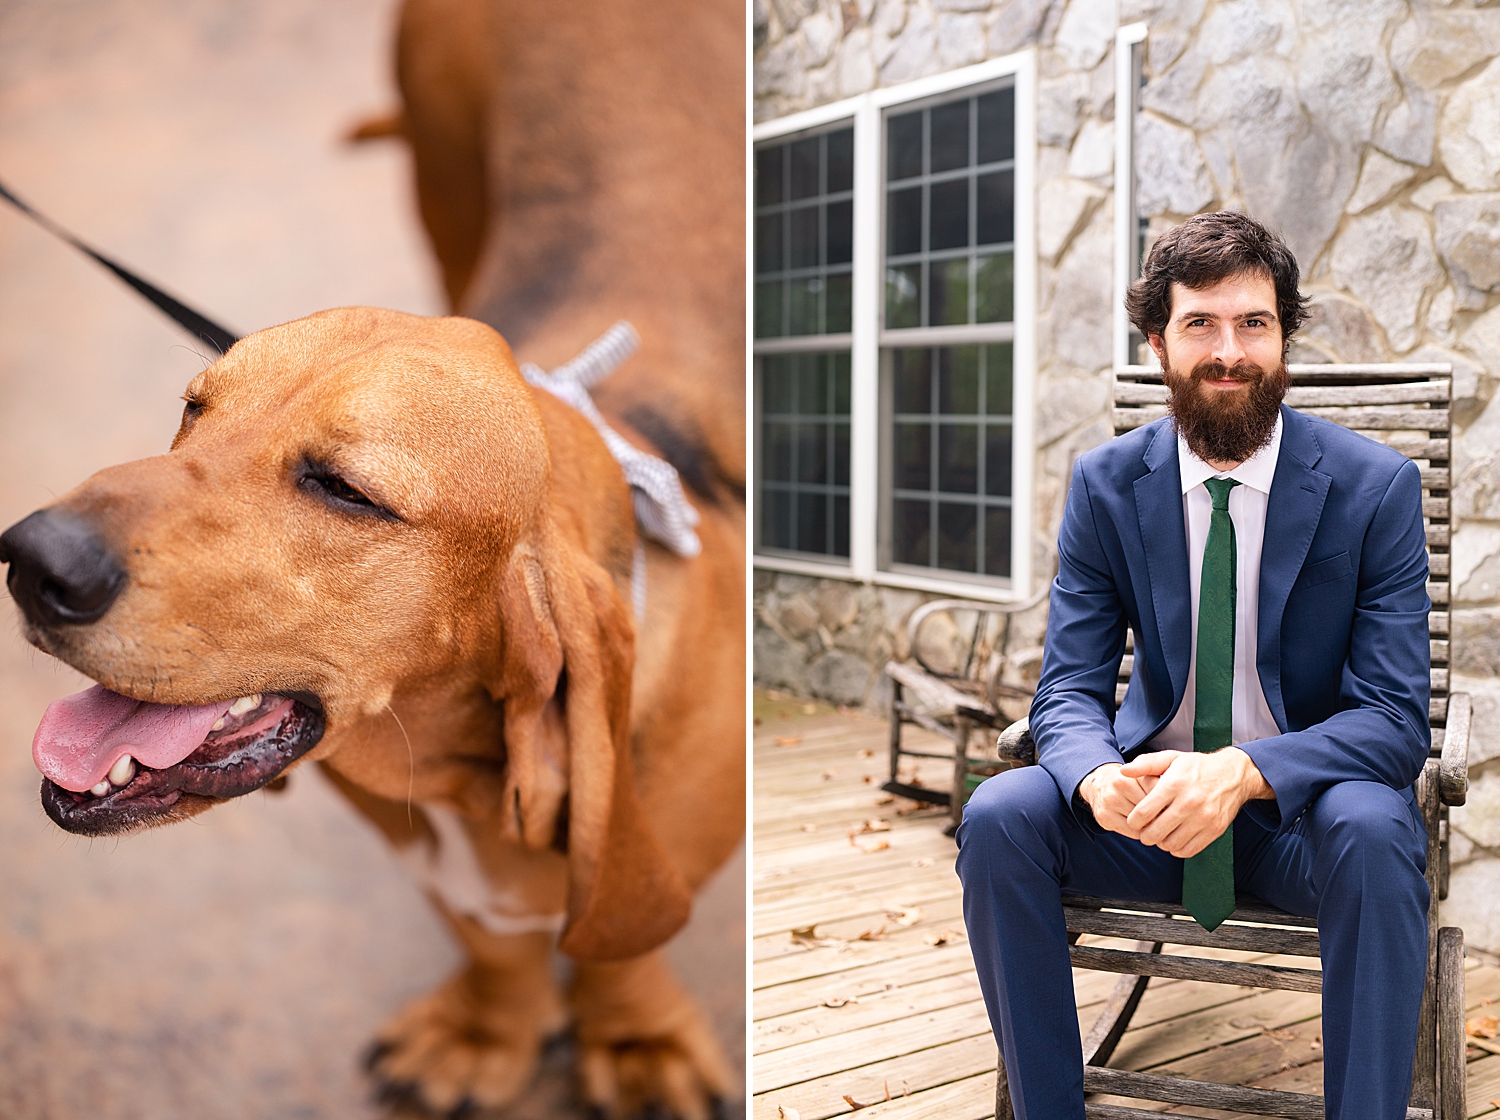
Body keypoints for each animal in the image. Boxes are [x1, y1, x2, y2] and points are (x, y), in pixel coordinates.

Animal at [0, 0, 747, 1115]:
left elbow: (620, 949)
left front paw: (637, 1039)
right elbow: (491, 941)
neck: (450, 769)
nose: (28, 557)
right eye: (194, 408)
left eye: (347, 489)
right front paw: (487, 1028)